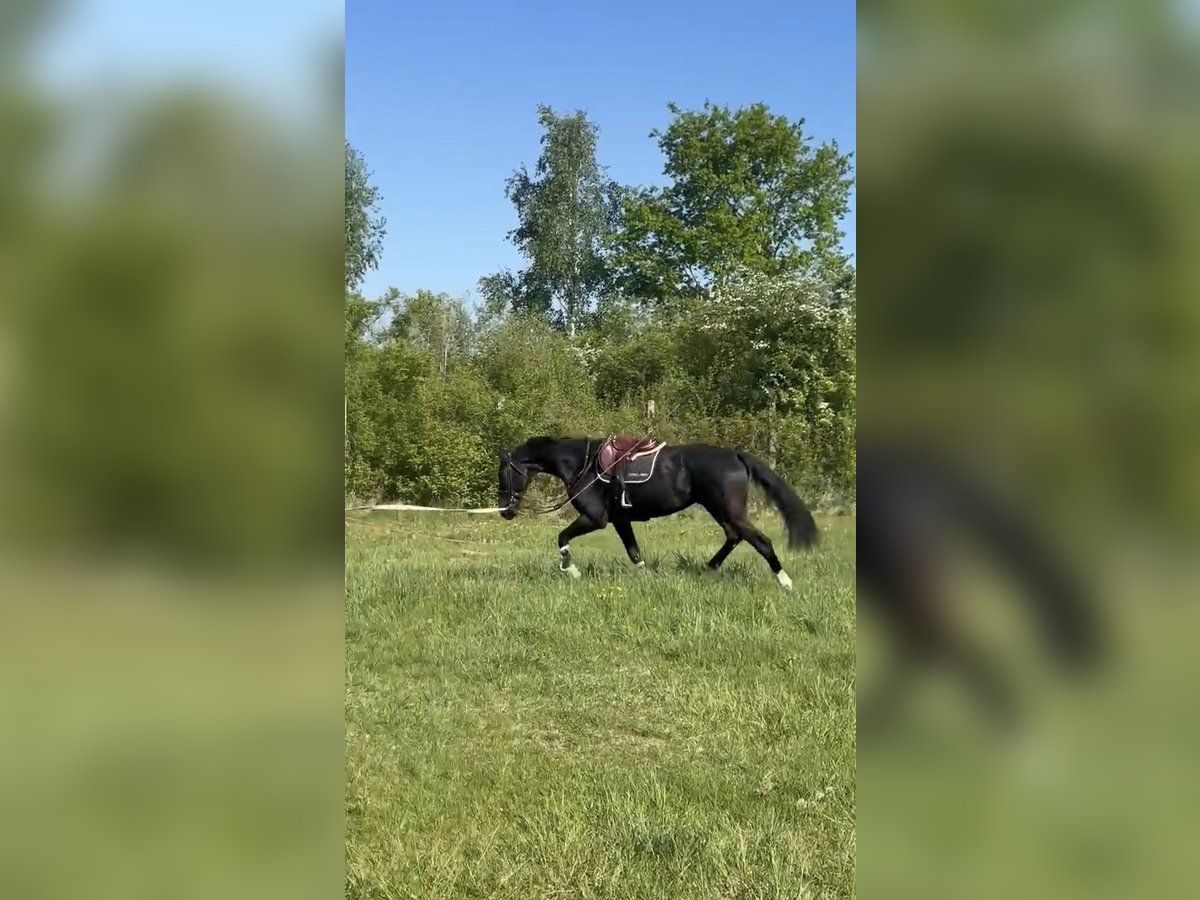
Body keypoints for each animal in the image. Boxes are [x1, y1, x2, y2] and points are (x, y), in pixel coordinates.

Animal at [497, 435, 819, 589]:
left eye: (504, 474)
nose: (505, 511)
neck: (583, 465)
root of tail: (735, 456)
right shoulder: (619, 520)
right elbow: (634, 552)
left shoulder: (595, 519)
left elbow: (562, 539)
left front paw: (571, 570)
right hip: (720, 510)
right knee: (734, 536)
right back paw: (710, 567)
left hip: (729, 510)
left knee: (759, 541)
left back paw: (784, 581)